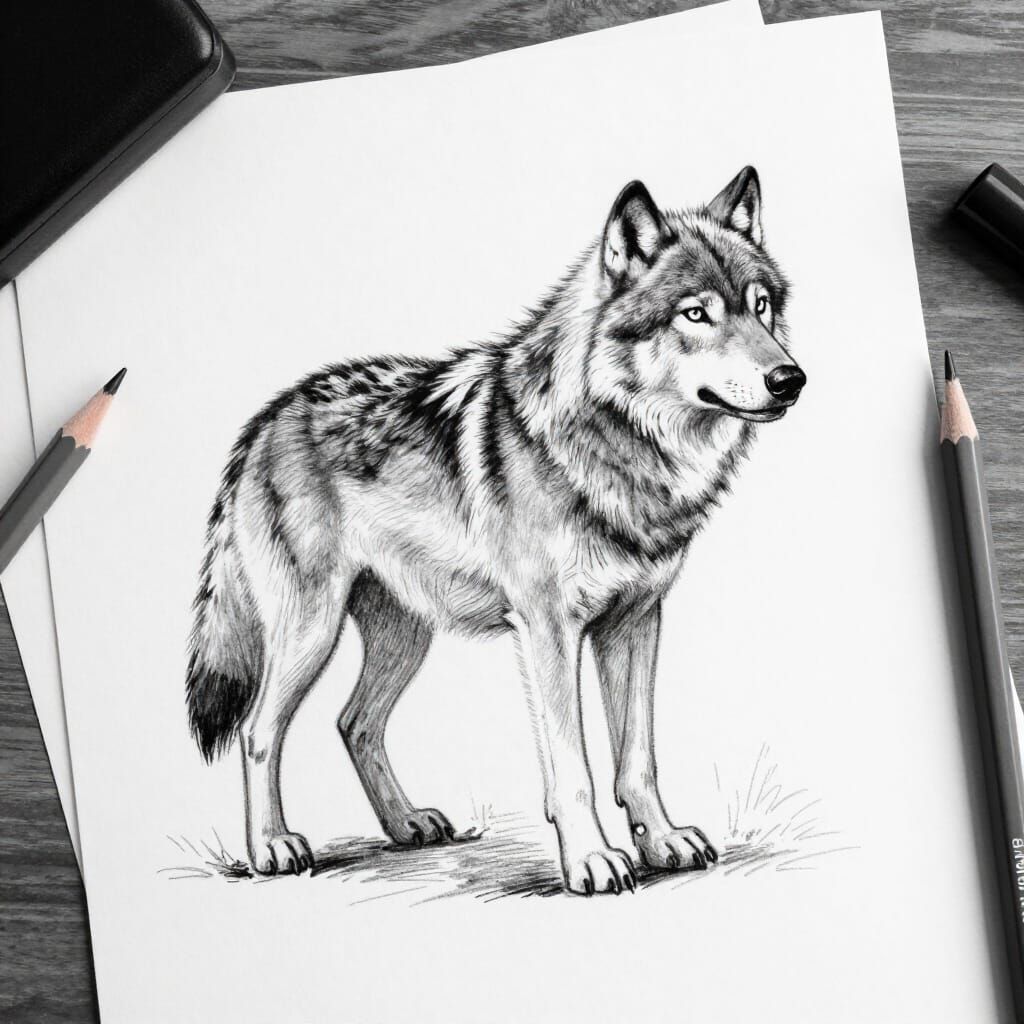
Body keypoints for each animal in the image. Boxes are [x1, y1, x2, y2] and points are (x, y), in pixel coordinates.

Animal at [186, 166, 805, 896]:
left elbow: (637, 760)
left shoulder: (636, 621)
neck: (619, 447)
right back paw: (271, 847)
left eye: (760, 307)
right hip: (310, 630)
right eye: (696, 314)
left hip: (405, 636)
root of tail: (265, 420)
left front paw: (662, 842)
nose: (790, 378)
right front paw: (592, 860)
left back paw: (406, 825)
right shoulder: (549, 629)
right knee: (259, 731)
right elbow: (573, 769)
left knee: (353, 722)